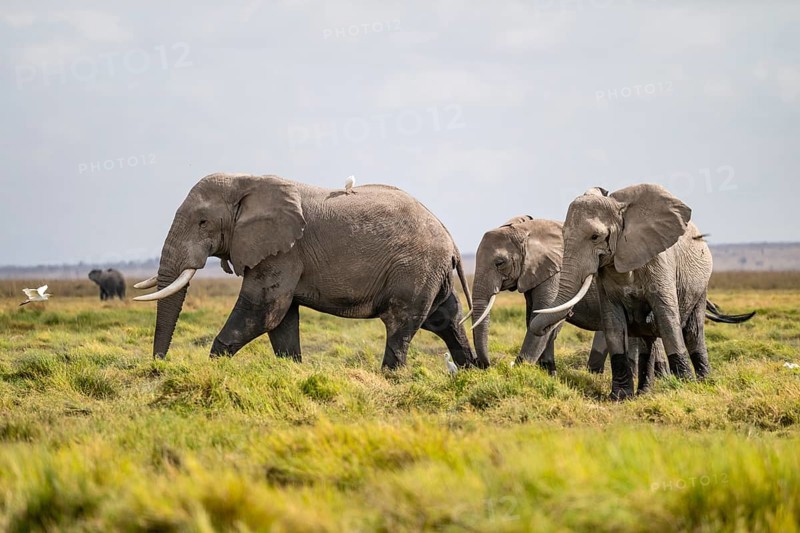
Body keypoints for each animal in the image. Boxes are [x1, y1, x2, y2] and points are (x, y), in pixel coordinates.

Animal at [133, 173, 483, 369]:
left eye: (203, 222)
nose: (159, 366)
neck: (247, 181)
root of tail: (450, 239)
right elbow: (281, 319)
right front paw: (292, 372)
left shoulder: (284, 252)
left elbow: (263, 311)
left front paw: (211, 372)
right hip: (429, 273)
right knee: (444, 319)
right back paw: (471, 371)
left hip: (414, 270)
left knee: (401, 323)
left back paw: (390, 377)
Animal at [468, 215, 668, 374]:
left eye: (500, 263)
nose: (483, 364)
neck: (526, 231)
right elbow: (535, 317)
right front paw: (549, 373)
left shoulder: (555, 270)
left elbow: (541, 315)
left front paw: (518, 371)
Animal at [529, 184, 750, 400]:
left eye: (595, 237)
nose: (542, 327)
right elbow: (613, 324)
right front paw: (619, 397)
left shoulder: (659, 262)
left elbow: (667, 319)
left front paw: (685, 389)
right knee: (647, 339)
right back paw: (644, 393)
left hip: (701, 285)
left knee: (692, 332)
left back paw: (704, 383)